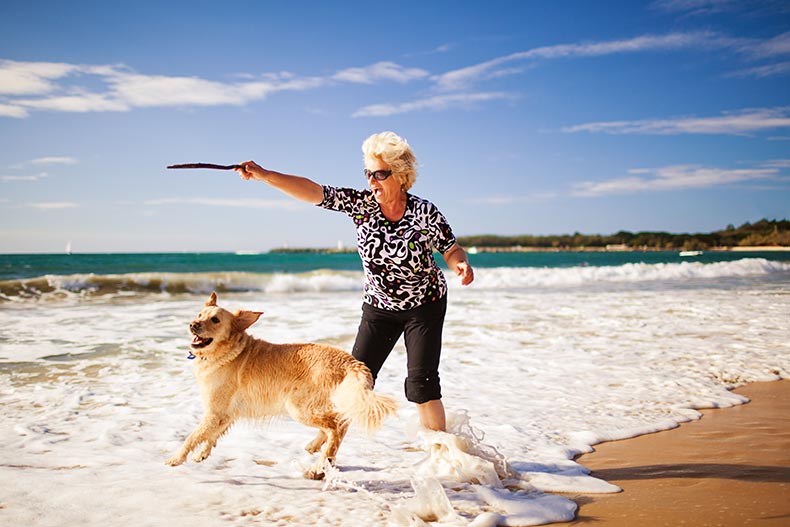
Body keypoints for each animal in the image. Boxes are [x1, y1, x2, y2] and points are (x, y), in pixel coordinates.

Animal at [168, 290, 402, 480]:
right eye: (199, 315)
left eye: (215, 319)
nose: (193, 325)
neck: (227, 351)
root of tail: (350, 361)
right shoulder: (225, 414)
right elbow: (212, 436)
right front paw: (202, 454)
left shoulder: (214, 412)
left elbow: (192, 436)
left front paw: (176, 459)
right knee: (340, 424)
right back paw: (316, 449)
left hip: (298, 407)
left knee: (335, 428)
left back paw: (317, 467)